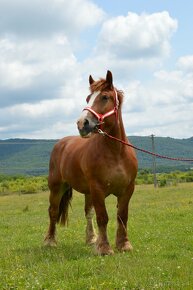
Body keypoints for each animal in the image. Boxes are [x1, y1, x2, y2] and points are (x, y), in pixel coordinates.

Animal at [44, 71, 137, 255]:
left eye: (105, 97)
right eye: (88, 98)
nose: (82, 123)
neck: (116, 152)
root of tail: (61, 143)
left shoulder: (127, 189)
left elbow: (122, 216)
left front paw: (123, 244)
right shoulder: (97, 189)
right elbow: (103, 217)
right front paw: (105, 248)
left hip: (87, 192)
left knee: (88, 213)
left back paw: (91, 238)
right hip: (57, 187)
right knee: (53, 212)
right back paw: (50, 241)